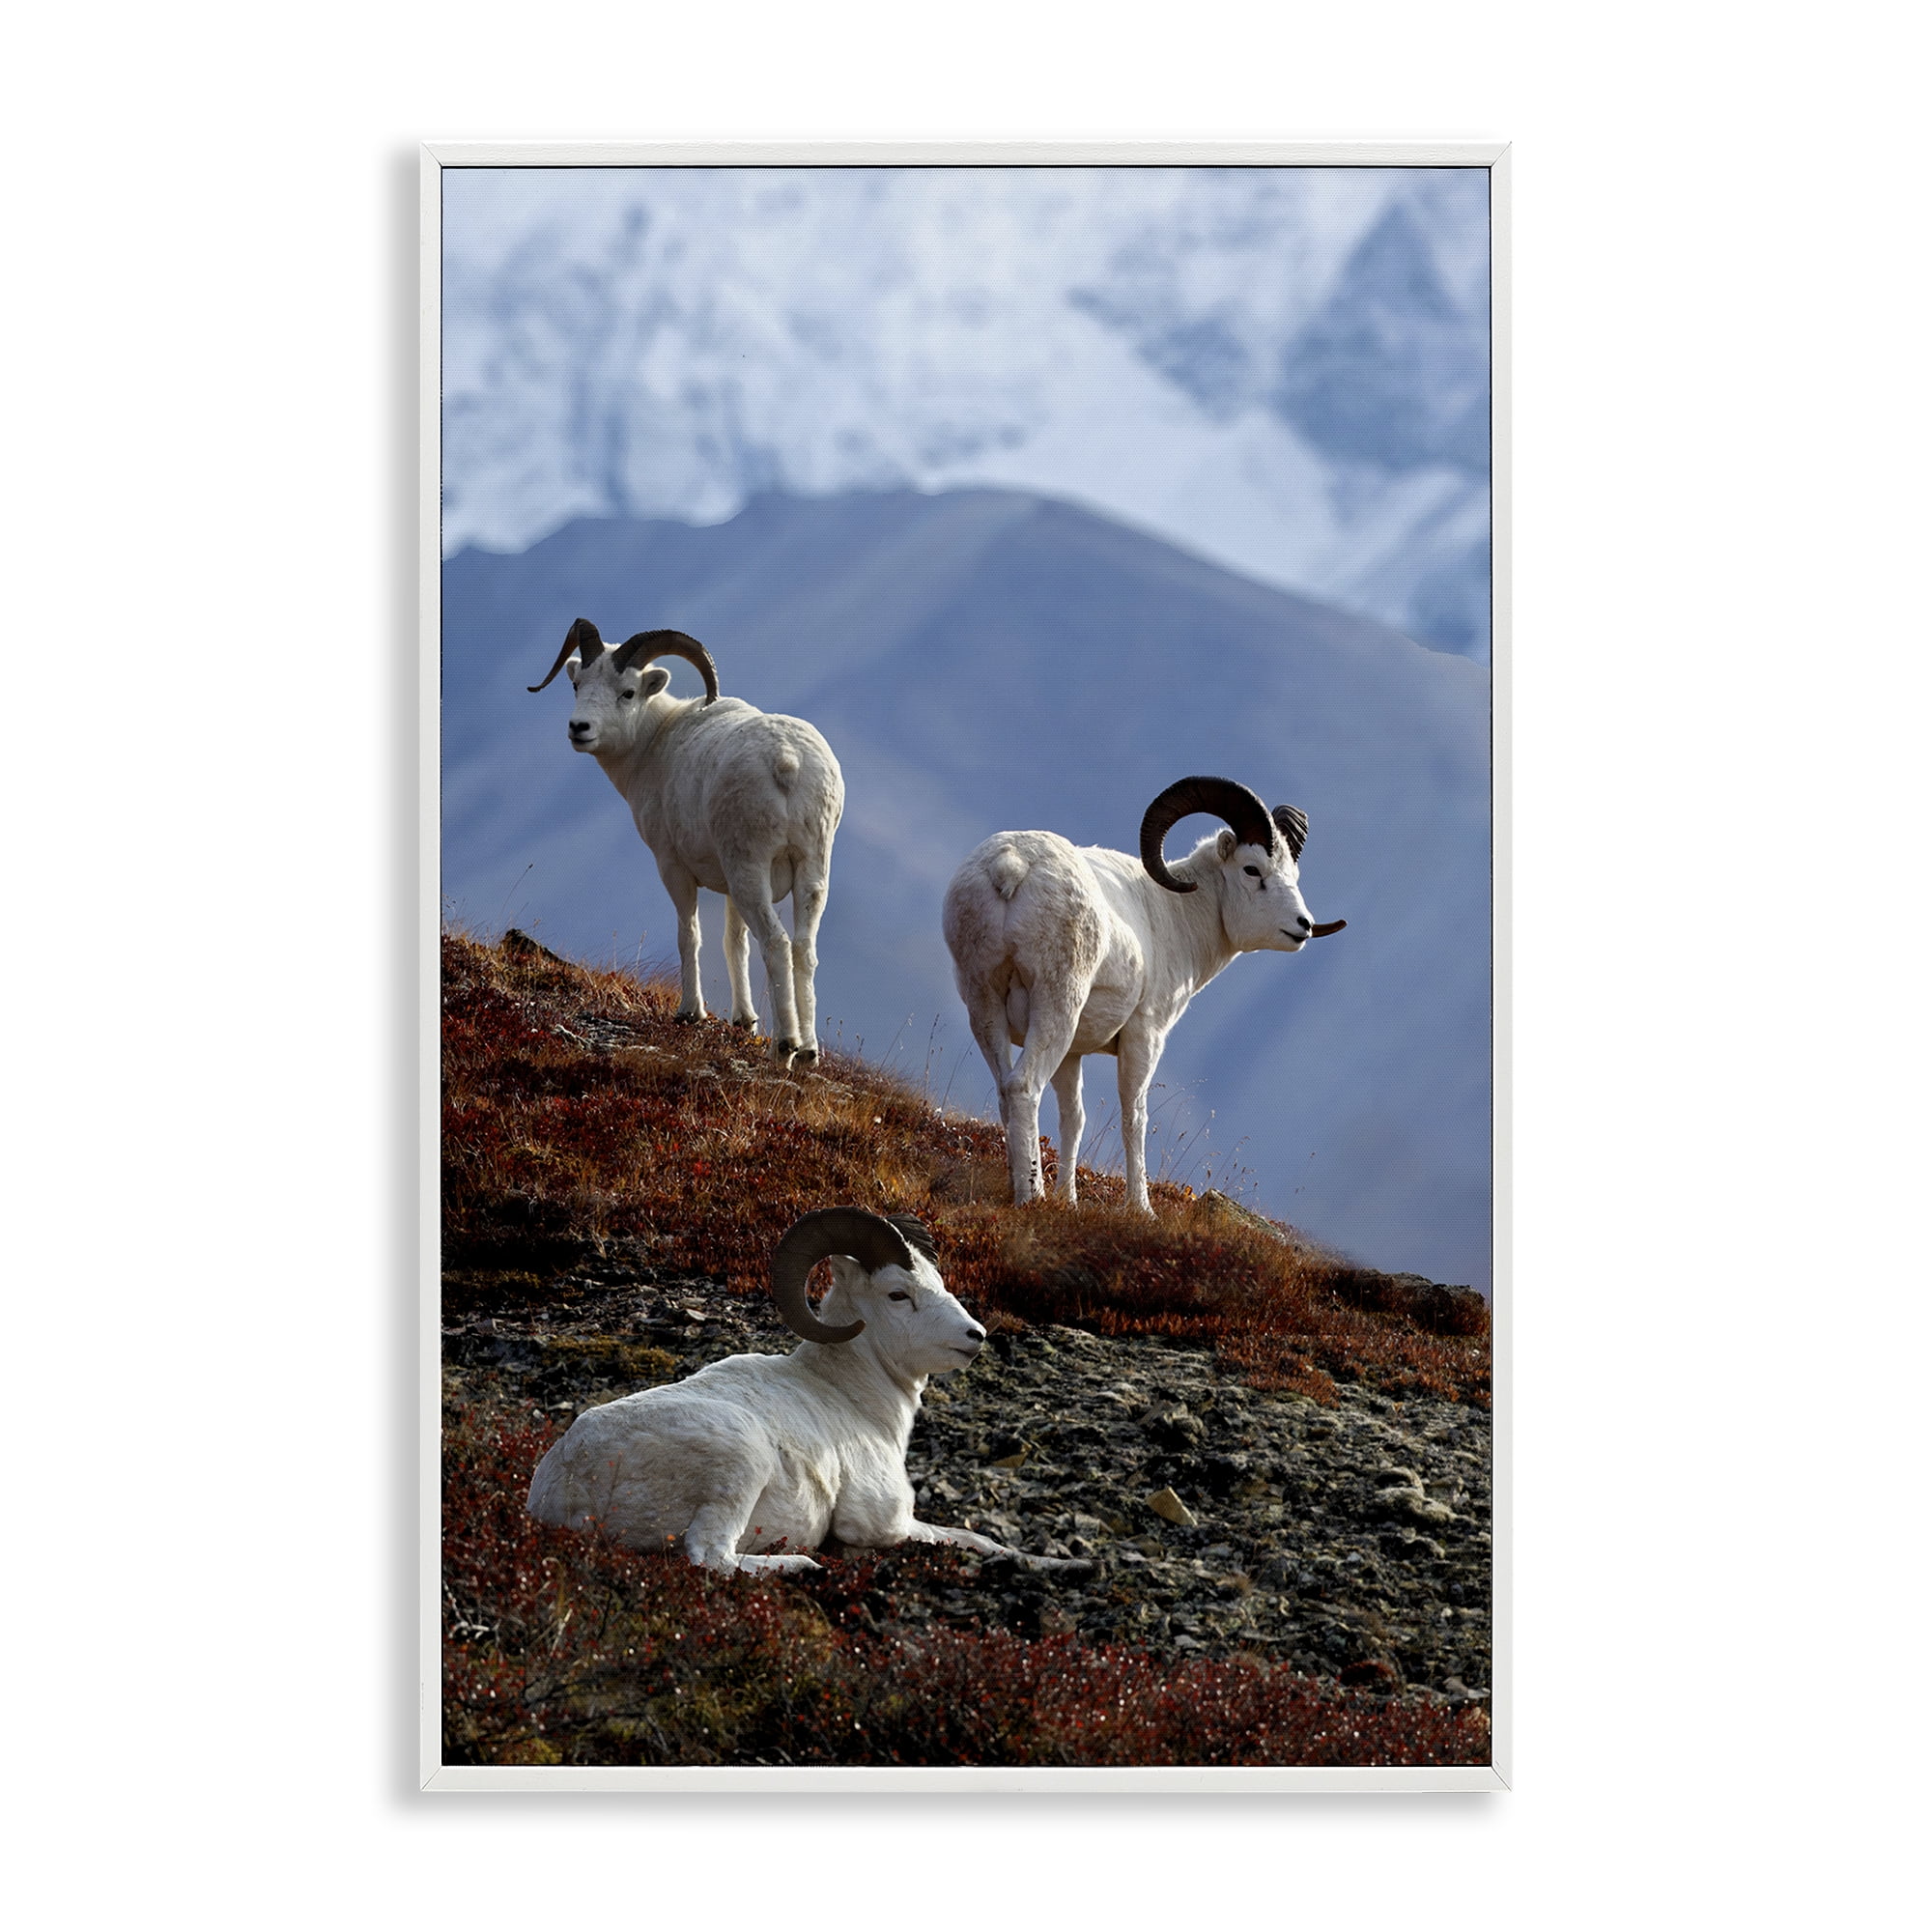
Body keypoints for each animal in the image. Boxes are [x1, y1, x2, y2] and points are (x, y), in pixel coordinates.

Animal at [527, 1209, 1078, 1575]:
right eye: (897, 1294)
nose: (975, 1335)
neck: (854, 1399)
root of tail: (570, 1486)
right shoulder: (886, 1522)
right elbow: (972, 1537)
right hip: (741, 1463)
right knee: (711, 1558)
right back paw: (803, 1564)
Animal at [529, 619, 842, 1064]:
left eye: (628, 692)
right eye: (578, 684)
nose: (579, 729)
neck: (654, 745)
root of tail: (787, 761)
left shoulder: (673, 867)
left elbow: (689, 935)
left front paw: (690, 1013)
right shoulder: (728, 887)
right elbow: (734, 943)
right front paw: (744, 1021)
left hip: (750, 871)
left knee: (777, 943)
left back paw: (784, 1048)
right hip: (810, 872)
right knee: (803, 948)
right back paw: (809, 1052)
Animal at [942, 776, 1346, 1213]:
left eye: (1293, 873)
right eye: (1252, 869)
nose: (1302, 925)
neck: (1177, 915)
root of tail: (1013, 865)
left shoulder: (1073, 1054)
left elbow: (1073, 1119)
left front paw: (1070, 1201)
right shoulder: (1144, 1035)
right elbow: (1134, 1118)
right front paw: (1141, 1209)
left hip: (984, 1004)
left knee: (1005, 1090)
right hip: (1056, 1006)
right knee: (1023, 1087)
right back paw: (1032, 1196)